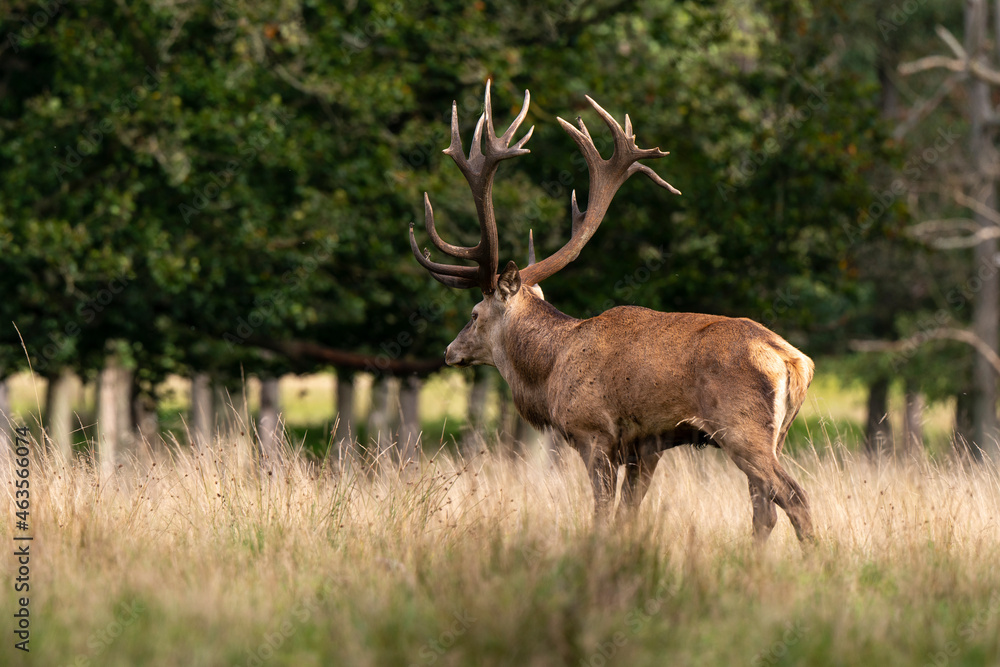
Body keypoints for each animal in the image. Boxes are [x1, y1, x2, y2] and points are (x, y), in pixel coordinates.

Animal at [410, 81, 816, 544]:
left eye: (475, 313)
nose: (449, 350)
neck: (549, 371)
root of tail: (794, 361)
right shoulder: (647, 445)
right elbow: (629, 512)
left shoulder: (593, 433)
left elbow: (602, 512)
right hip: (776, 434)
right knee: (764, 509)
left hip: (741, 428)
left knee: (794, 497)